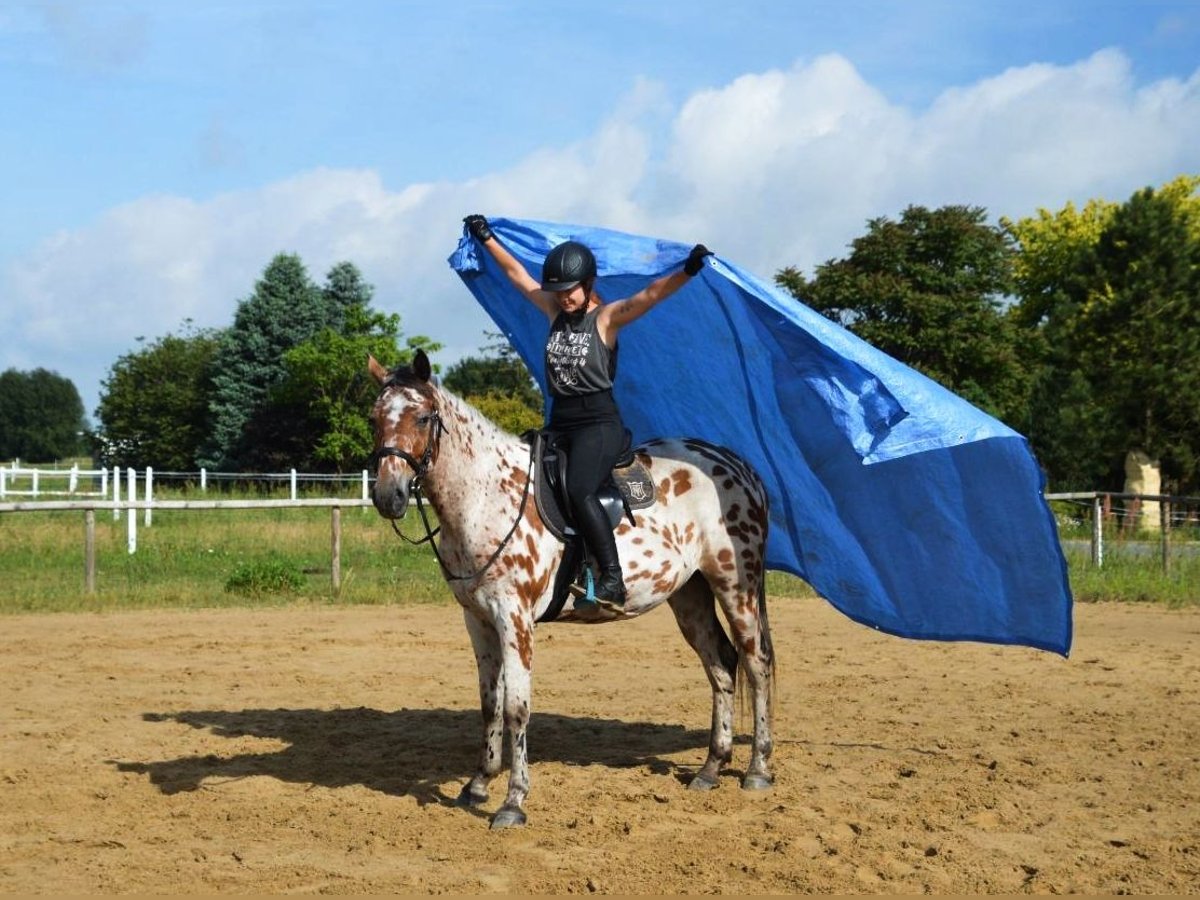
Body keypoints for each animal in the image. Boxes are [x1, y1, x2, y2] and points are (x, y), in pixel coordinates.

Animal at [367, 348, 777, 830]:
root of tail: (739, 467)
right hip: (689, 596)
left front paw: (513, 802)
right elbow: (489, 703)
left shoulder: (515, 617)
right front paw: (478, 783)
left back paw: (757, 769)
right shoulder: (478, 619)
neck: (487, 496)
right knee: (721, 666)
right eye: (375, 418)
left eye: (423, 417)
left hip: (736, 585)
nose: (388, 496)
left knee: (756, 664)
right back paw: (711, 768)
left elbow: (516, 707)